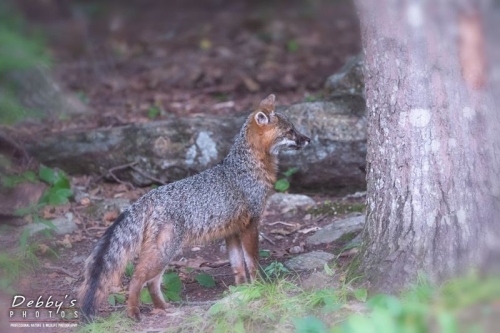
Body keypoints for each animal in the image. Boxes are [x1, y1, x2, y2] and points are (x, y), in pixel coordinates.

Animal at [79, 94, 308, 320]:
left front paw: (242, 291)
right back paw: (134, 312)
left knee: (152, 282)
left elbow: (238, 267)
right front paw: (260, 286)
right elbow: (252, 262)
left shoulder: (232, 231)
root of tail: (148, 197)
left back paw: (164, 308)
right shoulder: (250, 225)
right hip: (165, 251)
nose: (308, 140)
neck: (246, 168)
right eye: (291, 131)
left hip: (165, 252)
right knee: (137, 278)